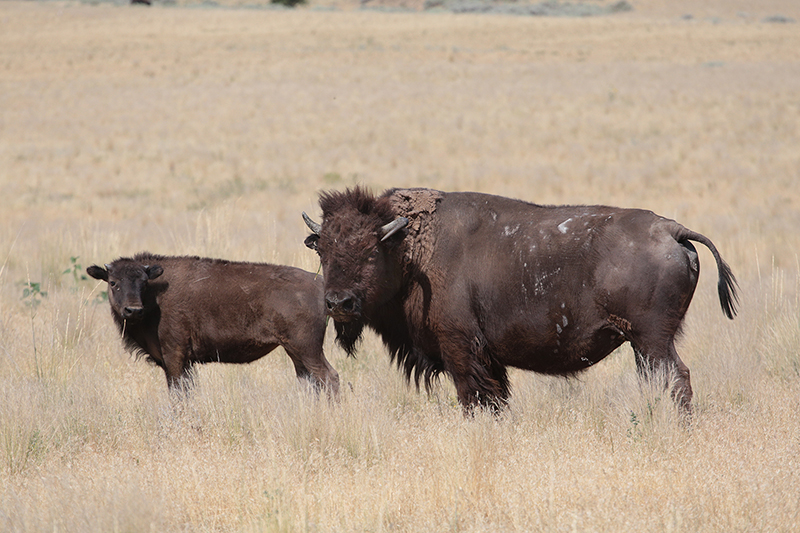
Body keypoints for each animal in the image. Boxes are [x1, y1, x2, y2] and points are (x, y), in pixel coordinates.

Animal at [87, 252, 339, 395]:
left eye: (143, 282)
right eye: (113, 282)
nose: (133, 310)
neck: (155, 295)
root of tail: (319, 283)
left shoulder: (174, 356)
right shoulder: (182, 363)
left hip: (307, 348)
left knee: (329, 378)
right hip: (294, 352)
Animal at [303, 187, 738, 415]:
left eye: (370, 252)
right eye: (323, 250)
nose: (338, 303)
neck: (412, 250)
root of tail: (673, 231)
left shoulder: (461, 348)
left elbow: (475, 396)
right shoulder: (488, 358)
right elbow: (496, 397)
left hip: (652, 340)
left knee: (677, 378)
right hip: (644, 344)